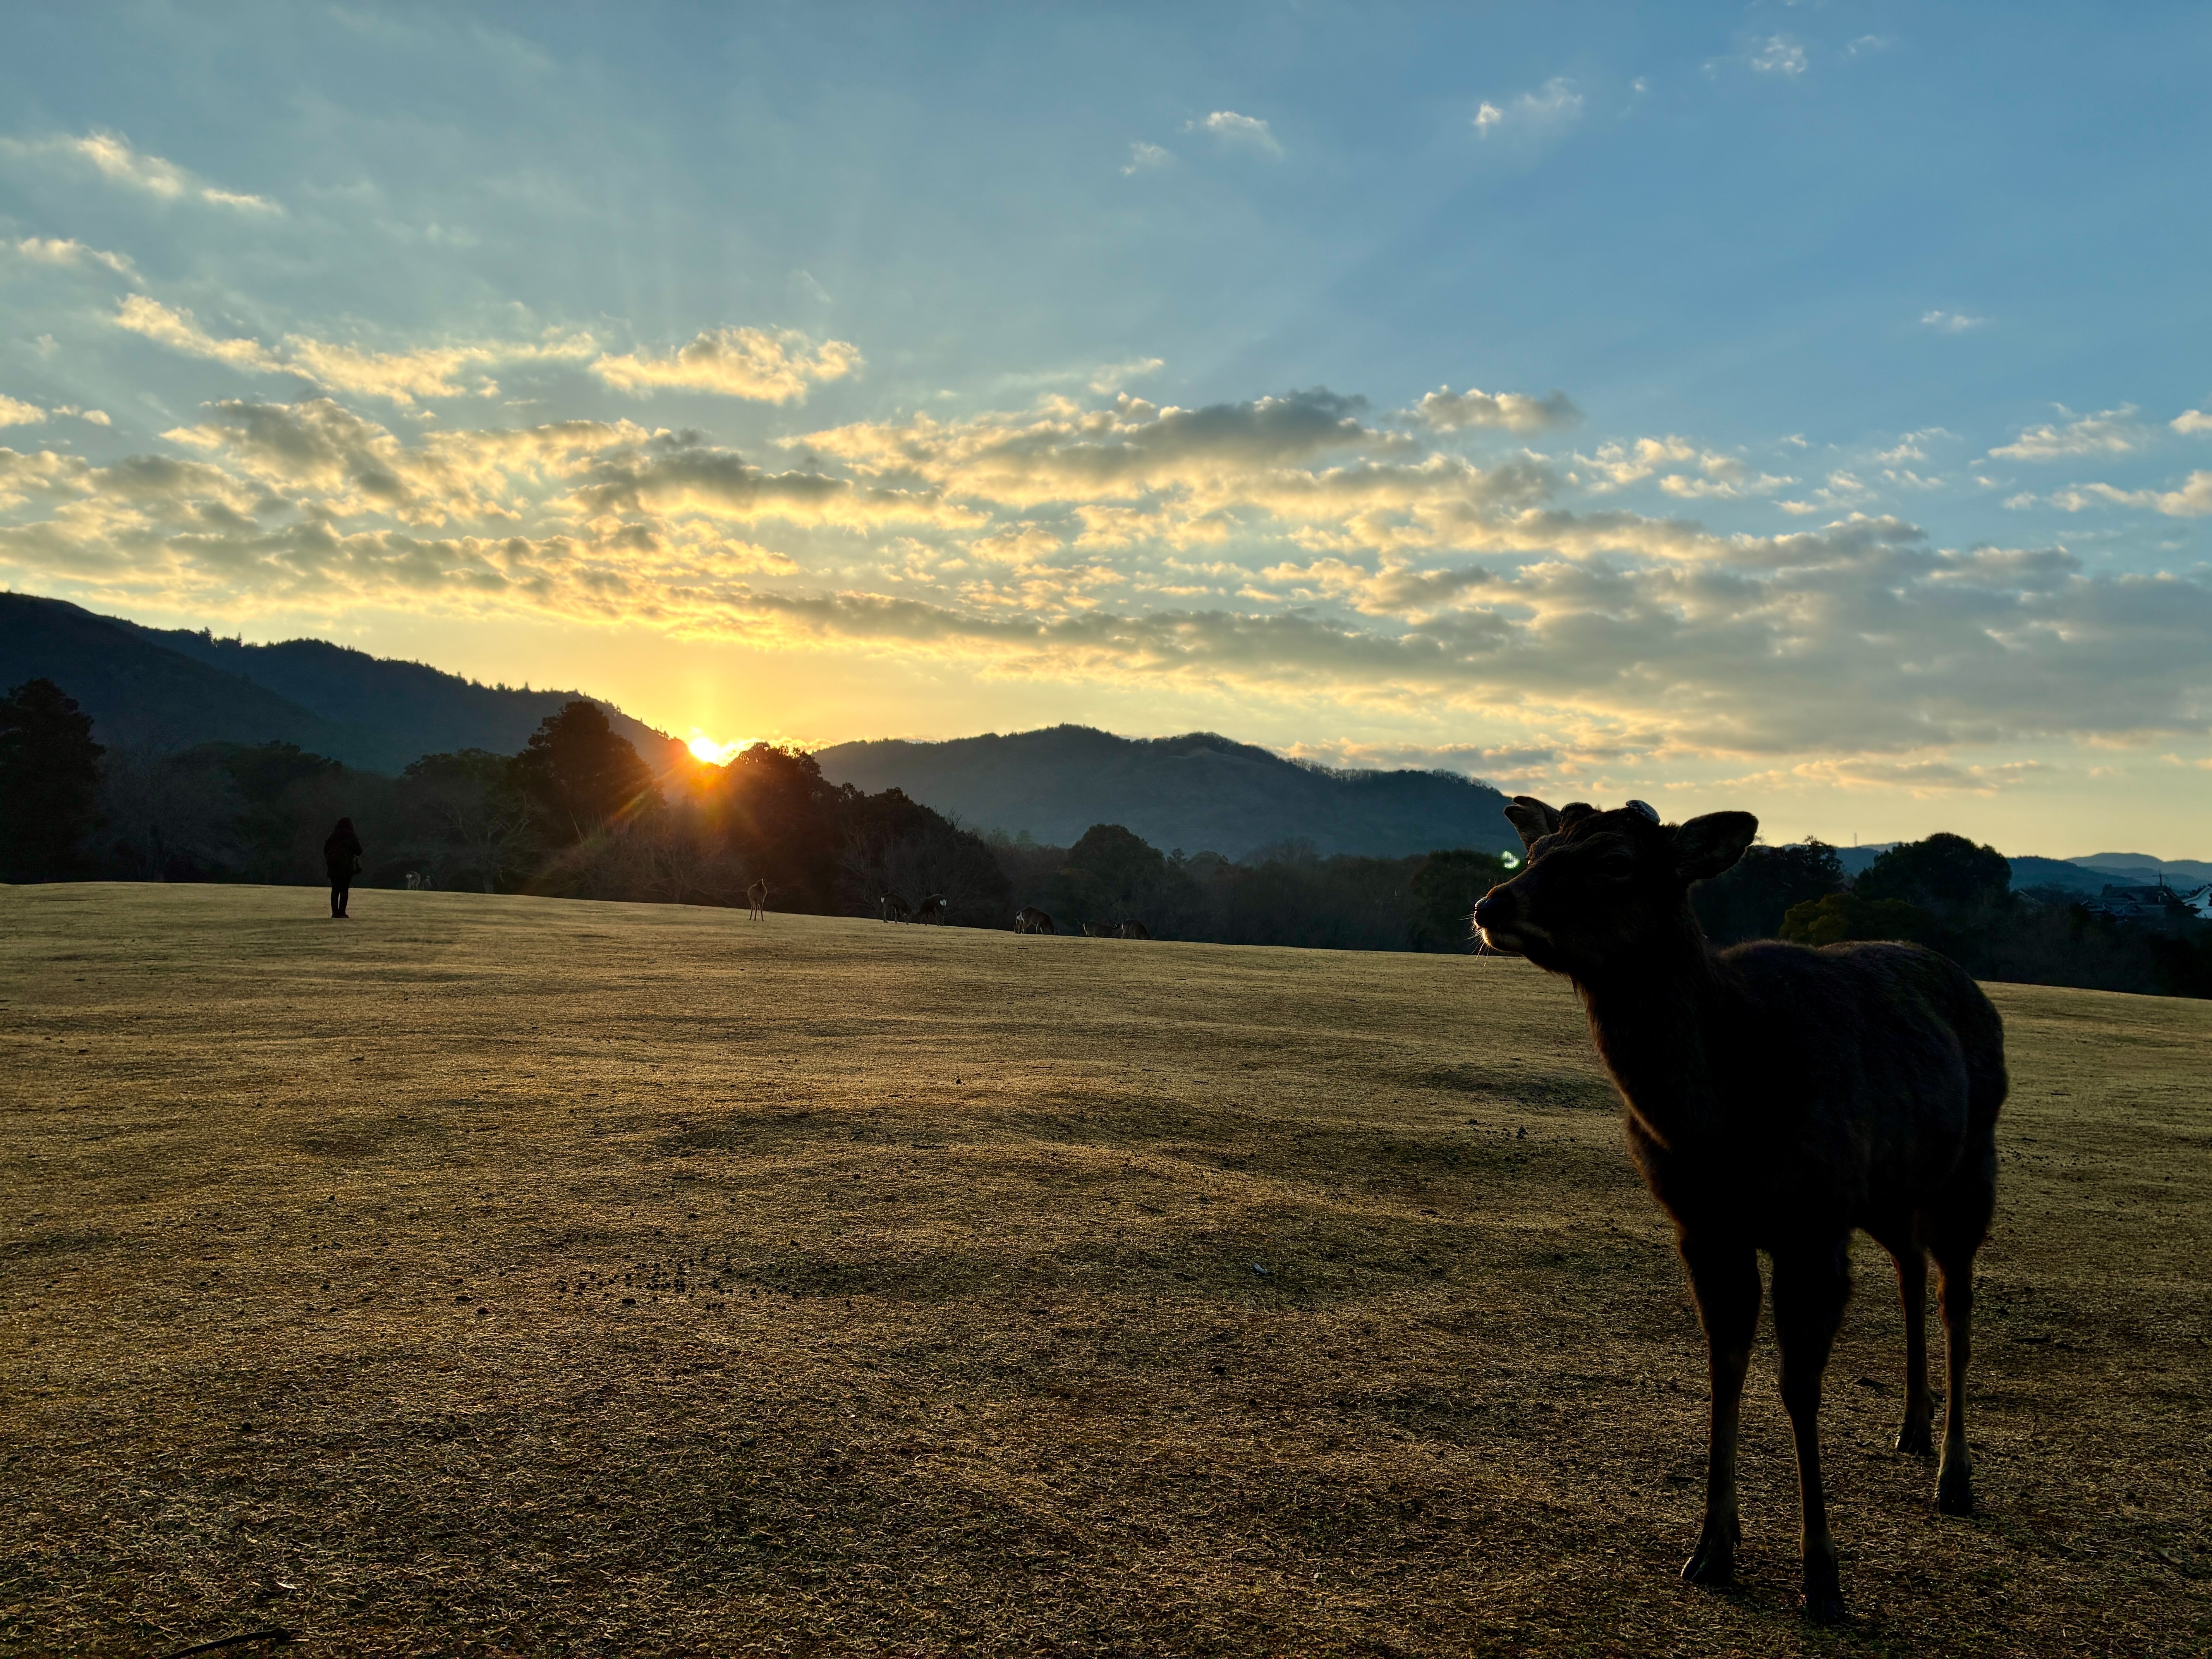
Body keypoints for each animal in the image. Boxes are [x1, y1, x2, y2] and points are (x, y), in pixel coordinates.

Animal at [1472, 796, 2005, 1625]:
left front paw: (1822, 1577)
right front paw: (1711, 1548)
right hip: (1889, 1191)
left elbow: (1797, 1384)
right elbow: (1724, 1366)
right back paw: (1911, 1427)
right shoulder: (1702, 1225)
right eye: (1537, 849)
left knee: (1958, 1297)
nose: (1492, 903)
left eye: (1616, 861)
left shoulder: (1810, 1222)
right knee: (1910, 1269)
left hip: (1969, 1166)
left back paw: (1954, 1475)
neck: (1722, 1118)